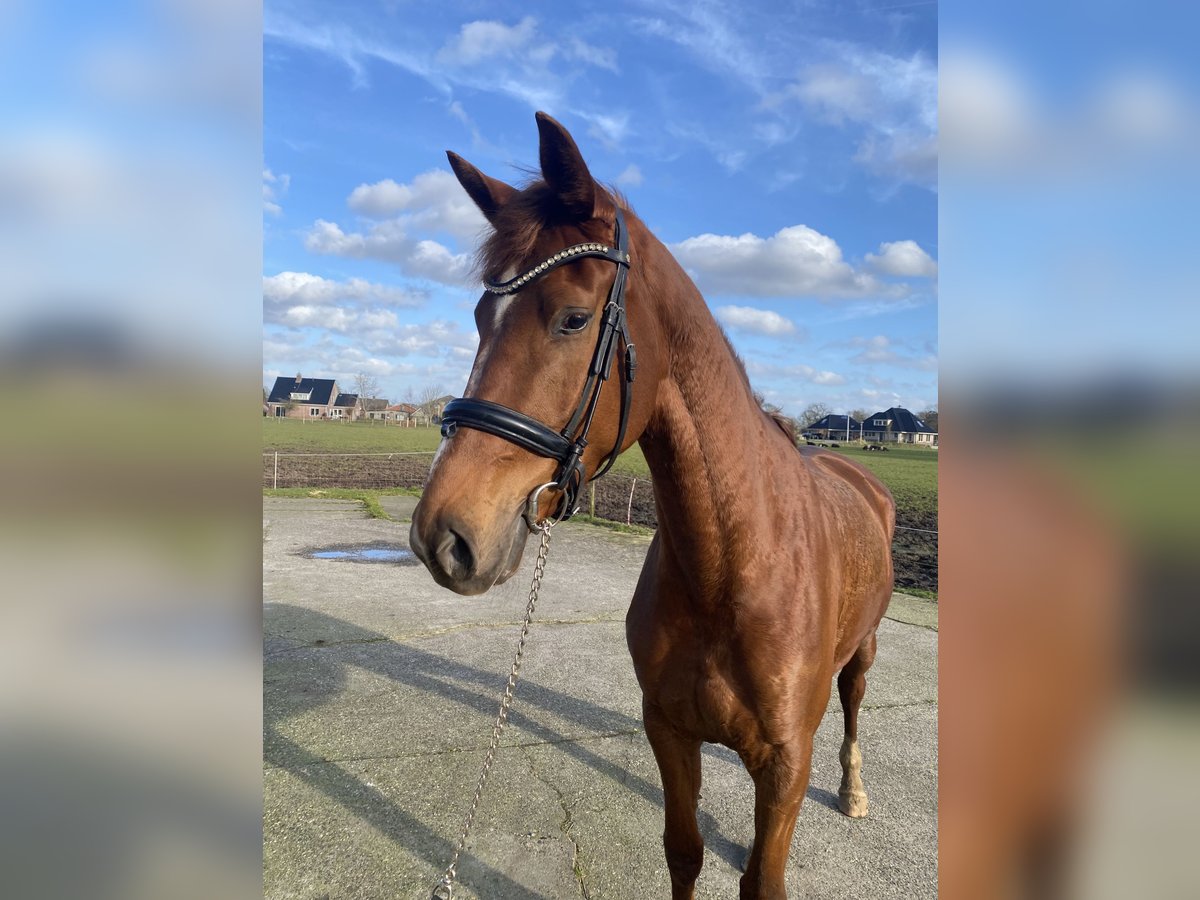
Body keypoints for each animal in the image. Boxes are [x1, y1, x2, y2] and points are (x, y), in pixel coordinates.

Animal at [410, 114, 892, 900]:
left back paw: (852, 790)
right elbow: (684, 852)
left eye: (573, 319)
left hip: (864, 651)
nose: (441, 538)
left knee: (854, 703)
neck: (730, 568)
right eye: (483, 314)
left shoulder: (787, 759)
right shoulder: (669, 731)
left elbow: (763, 880)